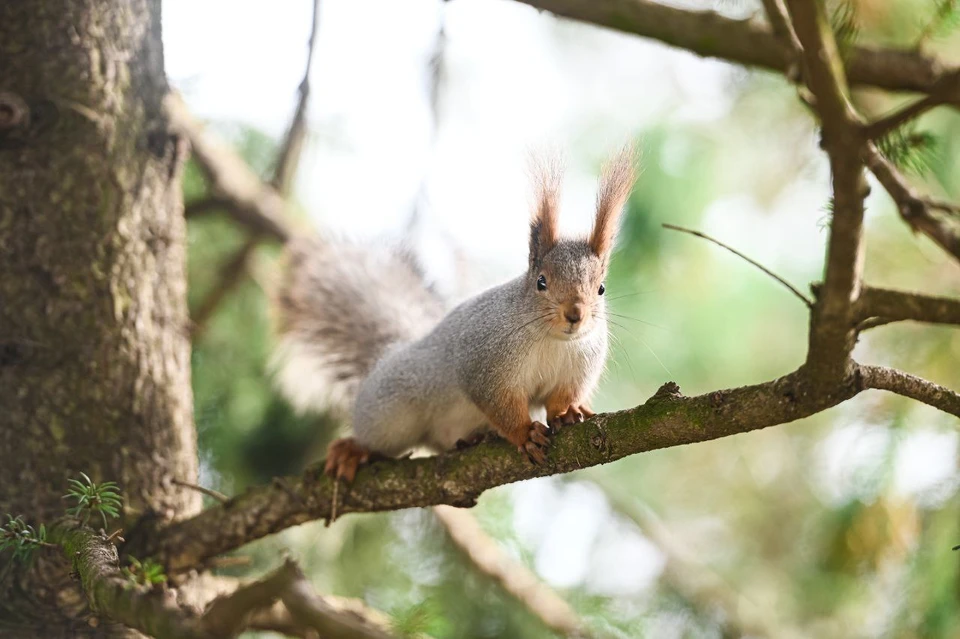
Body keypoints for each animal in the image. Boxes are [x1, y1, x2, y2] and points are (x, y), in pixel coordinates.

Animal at [272, 149, 636, 480]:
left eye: (601, 289)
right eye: (541, 282)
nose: (574, 314)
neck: (554, 341)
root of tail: (388, 355)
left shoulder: (577, 370)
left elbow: (561, 397)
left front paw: (567, 412)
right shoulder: (486, 365)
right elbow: (499, 404)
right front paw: (524, 433)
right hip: (390, 410)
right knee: (379, 439)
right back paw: (353, 449)